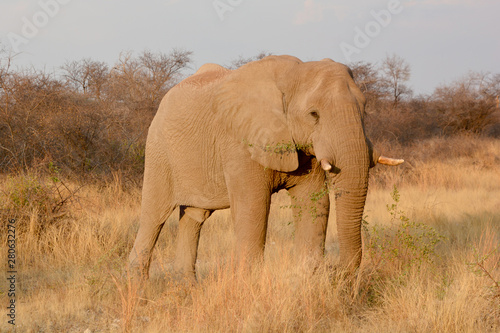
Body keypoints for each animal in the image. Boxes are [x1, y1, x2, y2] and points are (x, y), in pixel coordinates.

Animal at [129, 54, 402, 280]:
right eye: (314, 114)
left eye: (364, 109)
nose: (336, 270)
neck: (294, 73)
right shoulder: (240, 142)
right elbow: (253, 206)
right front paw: (248, 285)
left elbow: (314, 201)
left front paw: (309, 277)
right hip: (159, 151)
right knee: (154, 216)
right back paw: (138, 289)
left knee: (194, 217)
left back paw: (187, 288)